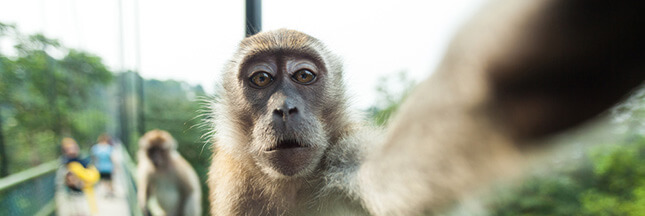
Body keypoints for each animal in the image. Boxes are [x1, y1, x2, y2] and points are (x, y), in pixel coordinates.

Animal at [208, 0, 644, 214]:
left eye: (303, 76)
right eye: (261, 80)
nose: (284, 109)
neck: (293, 184)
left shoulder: (345, 157)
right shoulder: (235, 184)